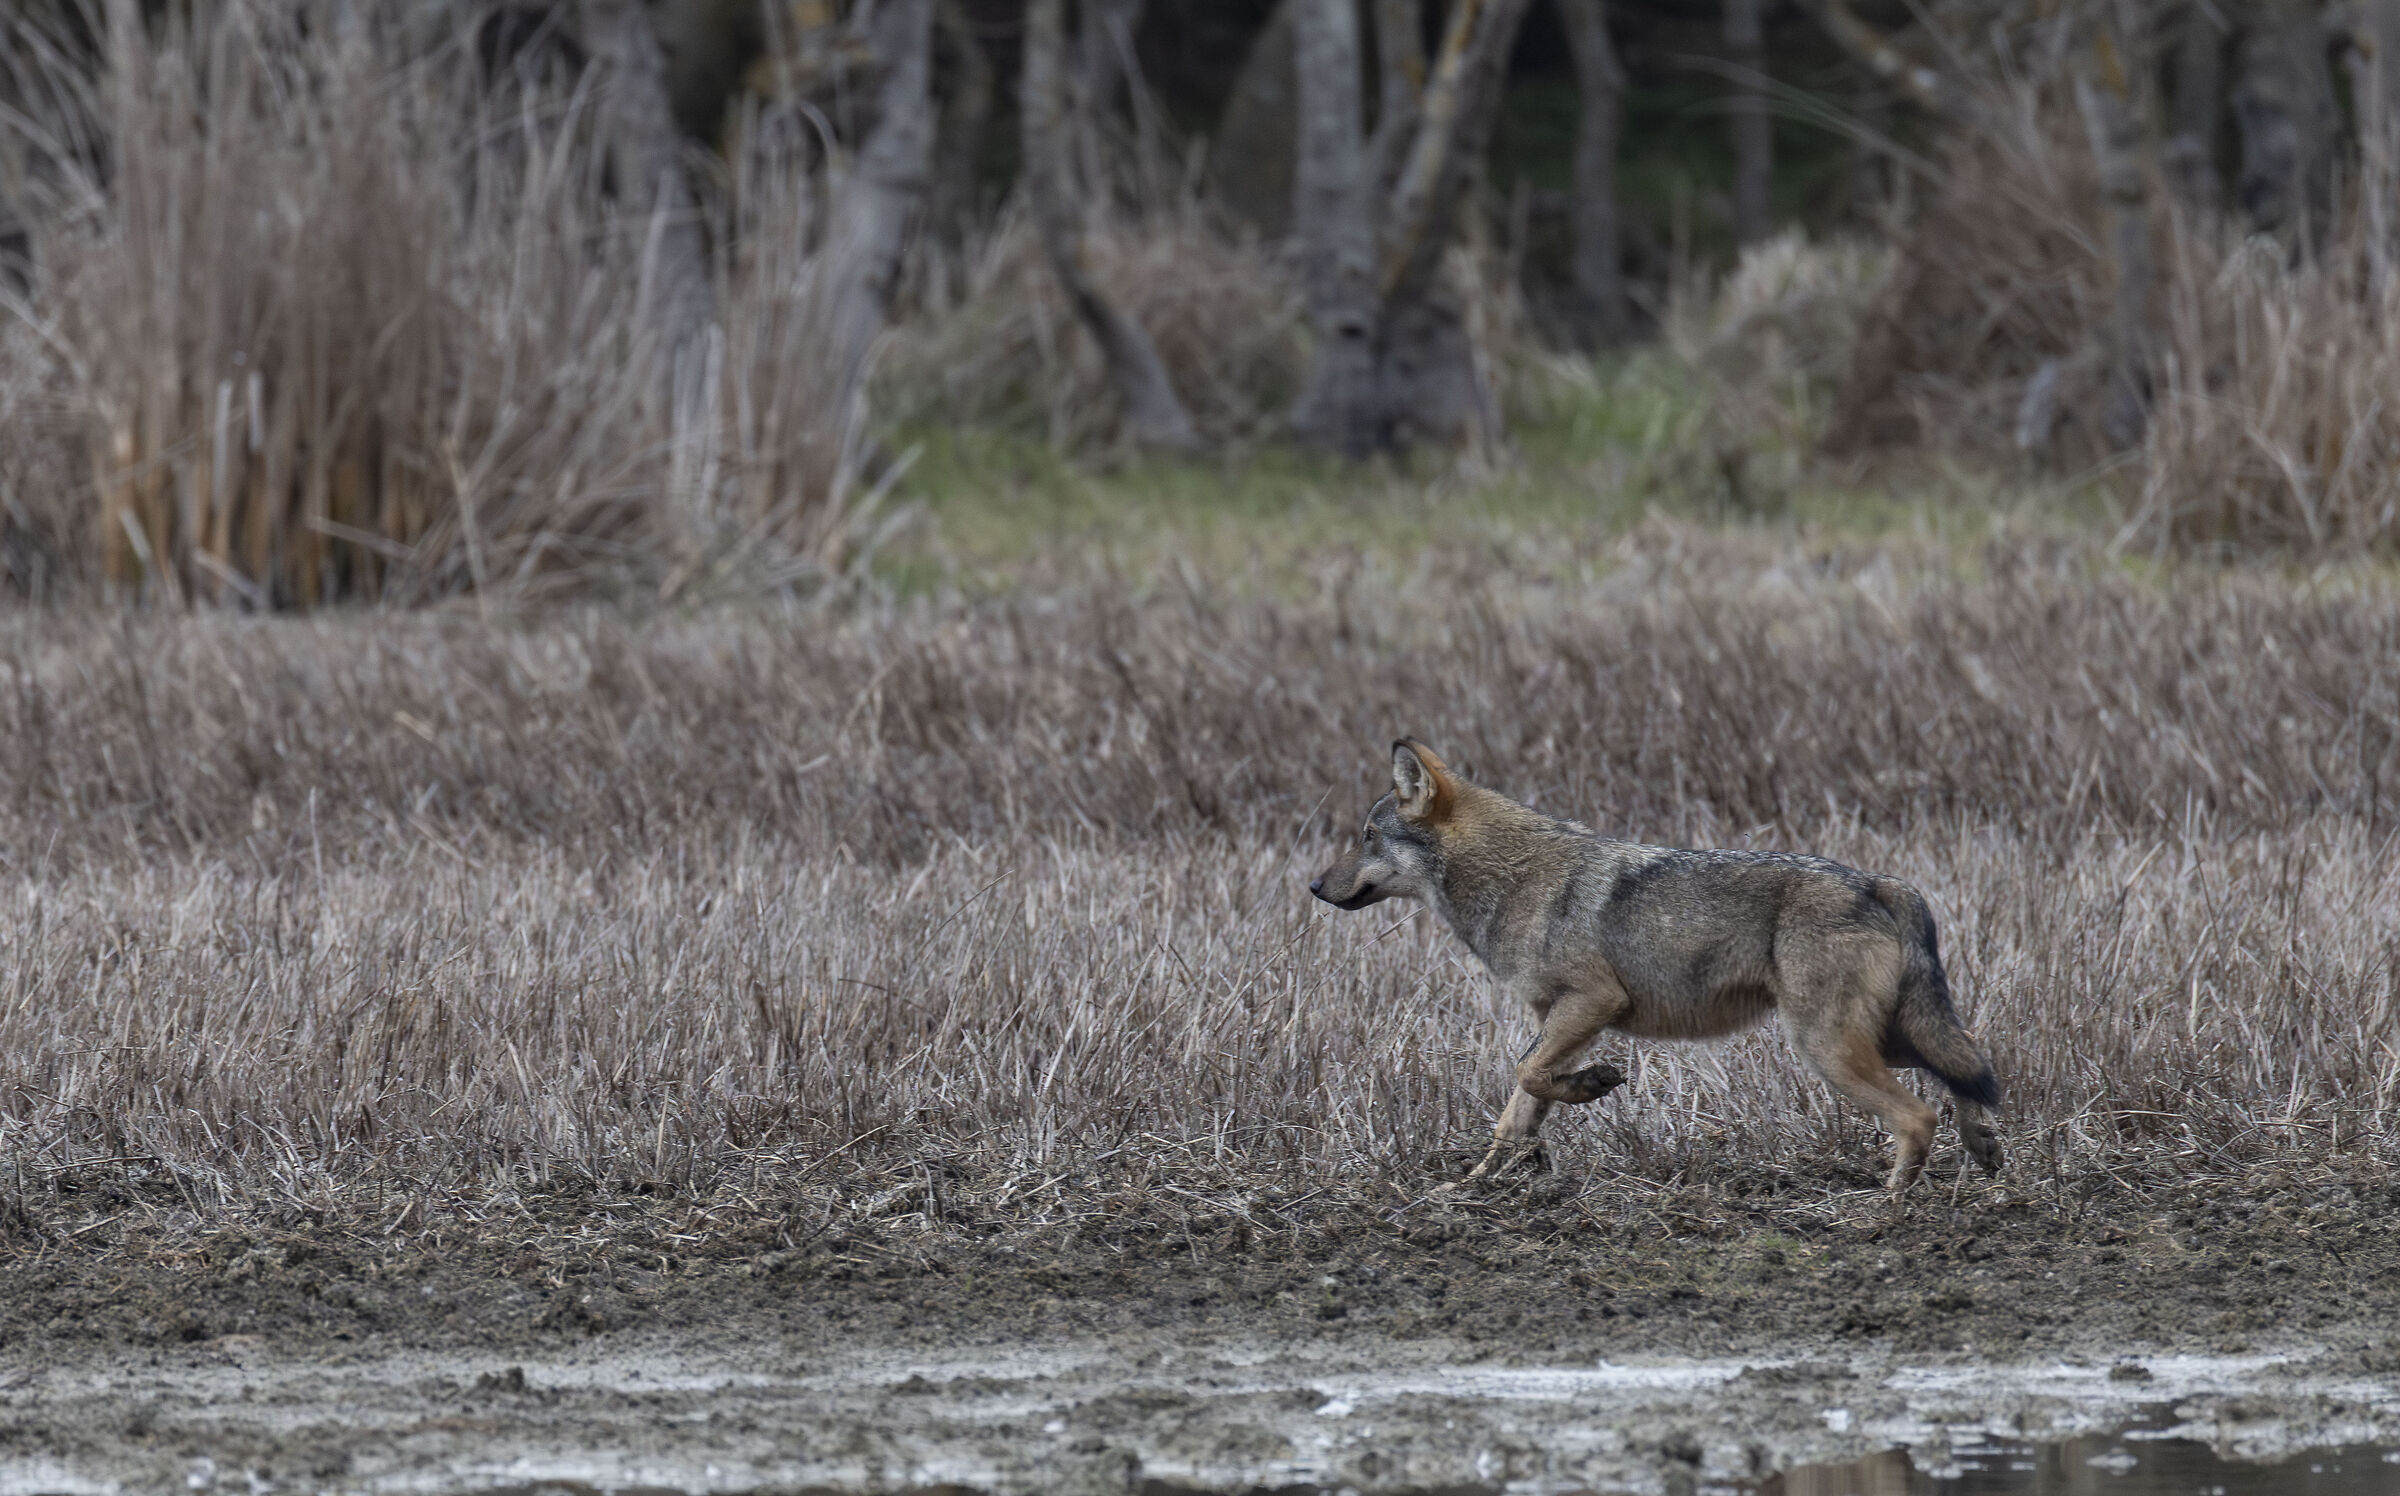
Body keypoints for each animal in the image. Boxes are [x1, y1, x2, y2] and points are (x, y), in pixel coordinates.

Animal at [1309, 740, 2001, 1191]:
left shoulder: (1593, 1002)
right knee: (1965, 1065)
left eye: (1368, 836)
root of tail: (1881, 883)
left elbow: (1527, 1076)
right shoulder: (1556, 1018)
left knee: (1918, 1115)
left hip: (1826, 1048)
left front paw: (1592, 1085)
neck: (1512, 879)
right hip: (1877, 1039)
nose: (1313, 886)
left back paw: (1887, 1207)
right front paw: (1467, 1188)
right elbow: (1515, 1113)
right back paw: (1983, 1146)